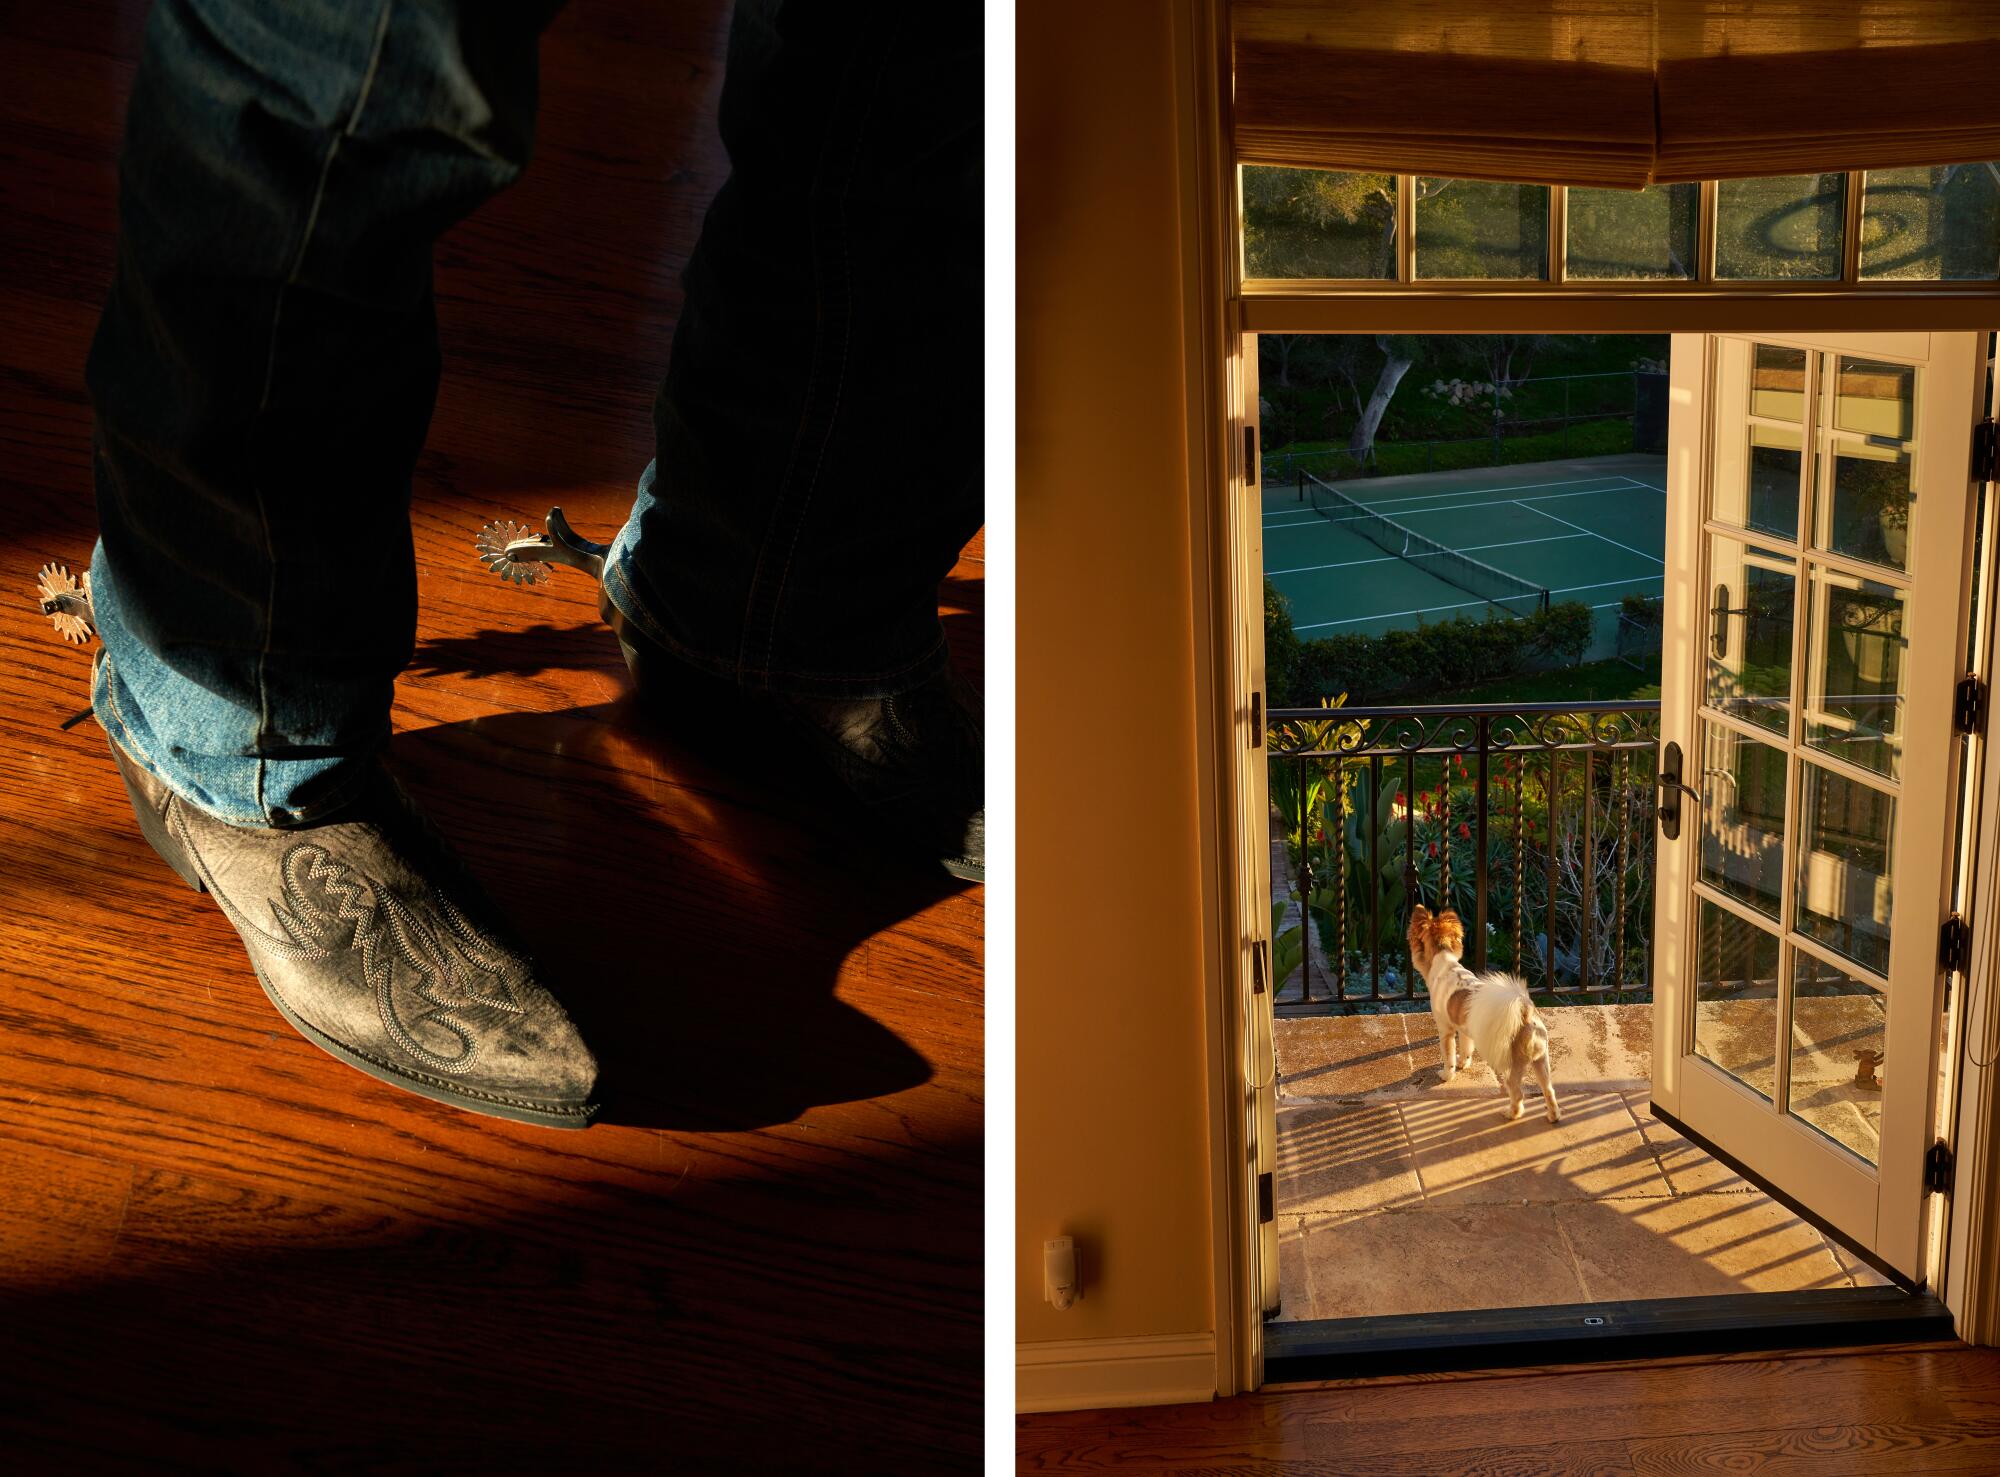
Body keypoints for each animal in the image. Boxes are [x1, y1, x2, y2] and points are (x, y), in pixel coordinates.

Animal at [1408, 896, 1560, 1112]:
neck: (1445, 962)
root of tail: (1525, 1014)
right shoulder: (1463, 1029)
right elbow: (1465, 1049)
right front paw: (1463, 1064)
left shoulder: (1446, 1029)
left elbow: (1448, 1057)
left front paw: (1446, 1075)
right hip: (1541, 1060)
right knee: (1549, 1091)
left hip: (1512, 1065)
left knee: (1517, 1094)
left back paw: (1510, 1113)